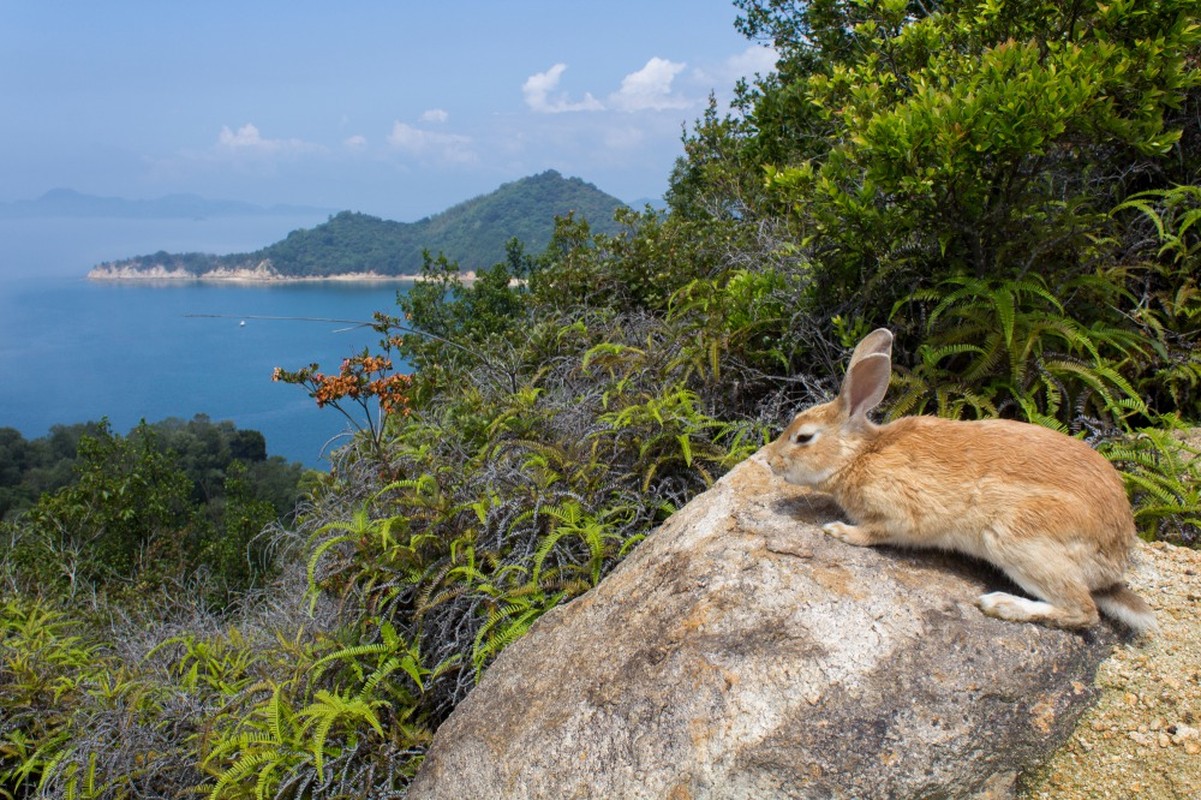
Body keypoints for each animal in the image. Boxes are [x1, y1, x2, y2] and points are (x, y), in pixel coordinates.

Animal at [768, 326, 1152, 634]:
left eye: (803, 438)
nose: (771, 460)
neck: (860, 455)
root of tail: (1116, 556)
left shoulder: (901, 513)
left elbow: (874, 533)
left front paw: (839, 531)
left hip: (1017, 539)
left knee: (1084, 611)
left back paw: (1000, 605)